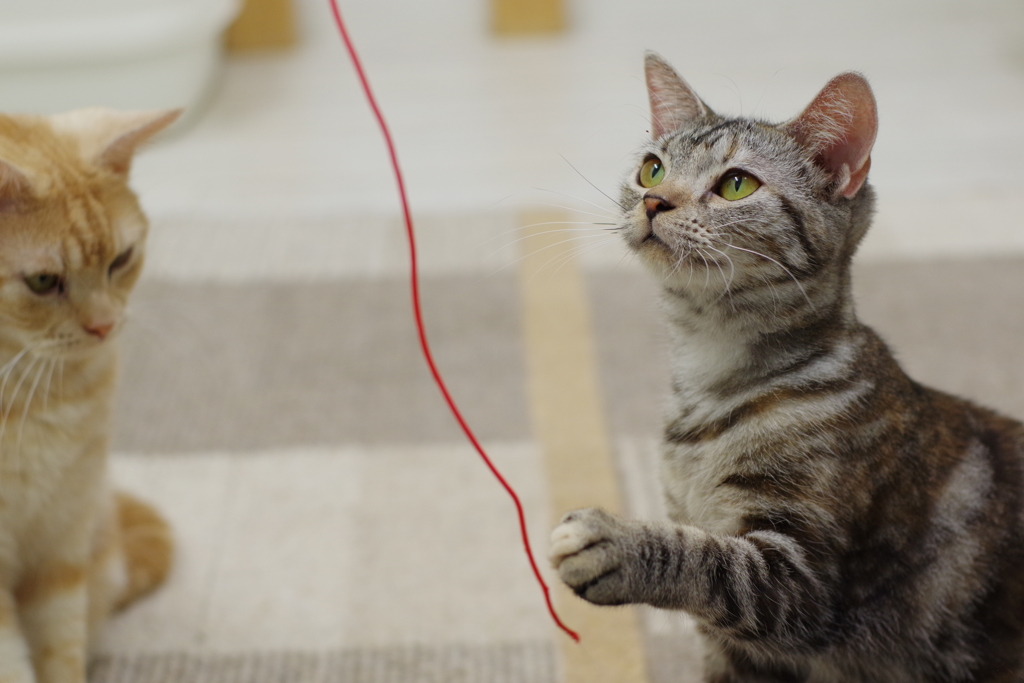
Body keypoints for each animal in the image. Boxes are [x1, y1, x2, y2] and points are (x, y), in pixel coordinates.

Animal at [0, 108, 177, 683]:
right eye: (42, 281)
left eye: (120, 260)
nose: (104, 326)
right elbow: (12, 662)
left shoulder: (61, 547)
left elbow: (60, 649)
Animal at [552, 53, 1024, 683]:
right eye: (652, 170)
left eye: (736, 184)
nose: (654, 202)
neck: (711, 375)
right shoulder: (736, 654)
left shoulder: (803, 578)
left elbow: (713, 560)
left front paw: (614, 541)